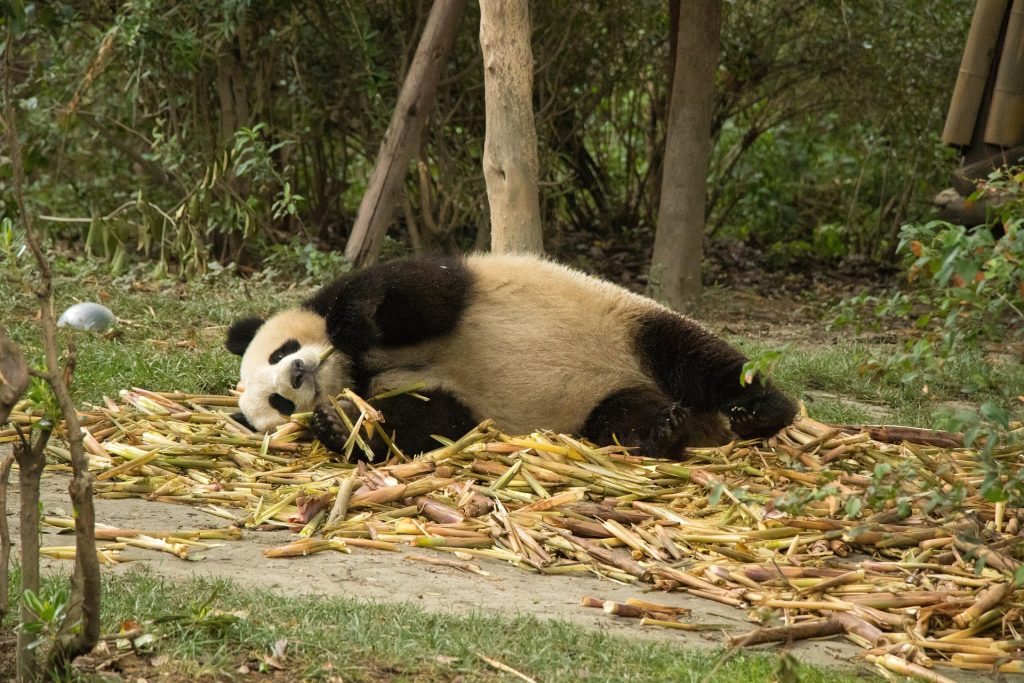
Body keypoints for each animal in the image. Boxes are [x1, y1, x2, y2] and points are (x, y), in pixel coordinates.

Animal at [225, 252, 797, 459]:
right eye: (278, 404)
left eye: (281, 351)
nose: (299, 372)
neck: (360, 369)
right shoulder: (434, 399)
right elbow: (429, 423)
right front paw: (336, 426)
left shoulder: (443, 296)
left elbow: (415, 293)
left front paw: (348, 325)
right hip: (598, 405)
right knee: (622, 416)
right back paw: (664, 430)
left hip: (630, 324)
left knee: (699, 359)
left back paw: (762, 412)